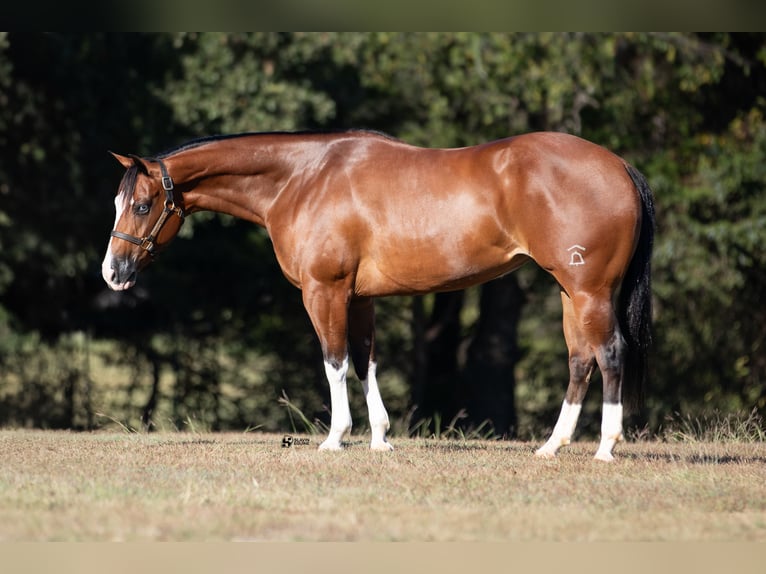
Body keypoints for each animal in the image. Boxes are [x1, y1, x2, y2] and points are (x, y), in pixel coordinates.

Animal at [100, 128, 656, 462]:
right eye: (118, 202)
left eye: (143, 205)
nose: (112, 272)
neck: (303, 179)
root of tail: (620, 166)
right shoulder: (360, 297)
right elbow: (365, 360)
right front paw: (381, 438)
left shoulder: (324, 292)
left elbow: (335, 361)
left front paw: (335, 438)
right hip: (568, 291)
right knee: (580, 359)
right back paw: (551, 446)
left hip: (589, 290)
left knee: (609, 353)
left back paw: (606, 447)